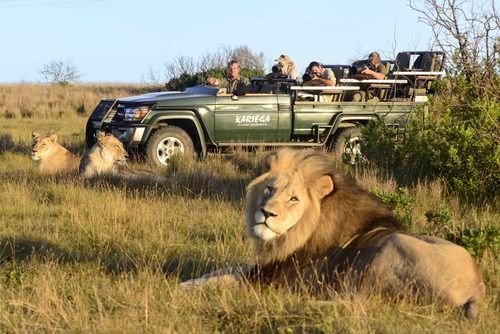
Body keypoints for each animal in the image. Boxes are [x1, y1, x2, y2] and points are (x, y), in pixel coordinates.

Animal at [183, 148, 484, 318]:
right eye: (269, 189)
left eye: (294, 199)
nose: (266, 213)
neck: (291, 237)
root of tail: (477, 290)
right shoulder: (264, 267)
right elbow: (224, 269)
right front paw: (190, 280)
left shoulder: (271, 278)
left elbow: (226, 279)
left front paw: (183, 286)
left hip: (389, 251)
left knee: (359, 304)